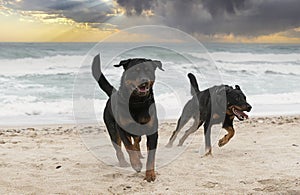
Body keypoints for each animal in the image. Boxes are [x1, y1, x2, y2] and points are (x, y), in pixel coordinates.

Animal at [91, 53, 164, 181]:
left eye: (148, 70)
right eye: (135, 70)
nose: (144, 81)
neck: (137, 103)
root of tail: (113, 94)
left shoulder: (152, 132)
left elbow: (151, 155)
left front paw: (150, 174)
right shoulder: (122, 129)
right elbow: (128, 146)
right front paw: (136, 164)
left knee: (136, 142)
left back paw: (139, 155)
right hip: (113, 130)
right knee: (119, 148)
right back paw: (124, 162)